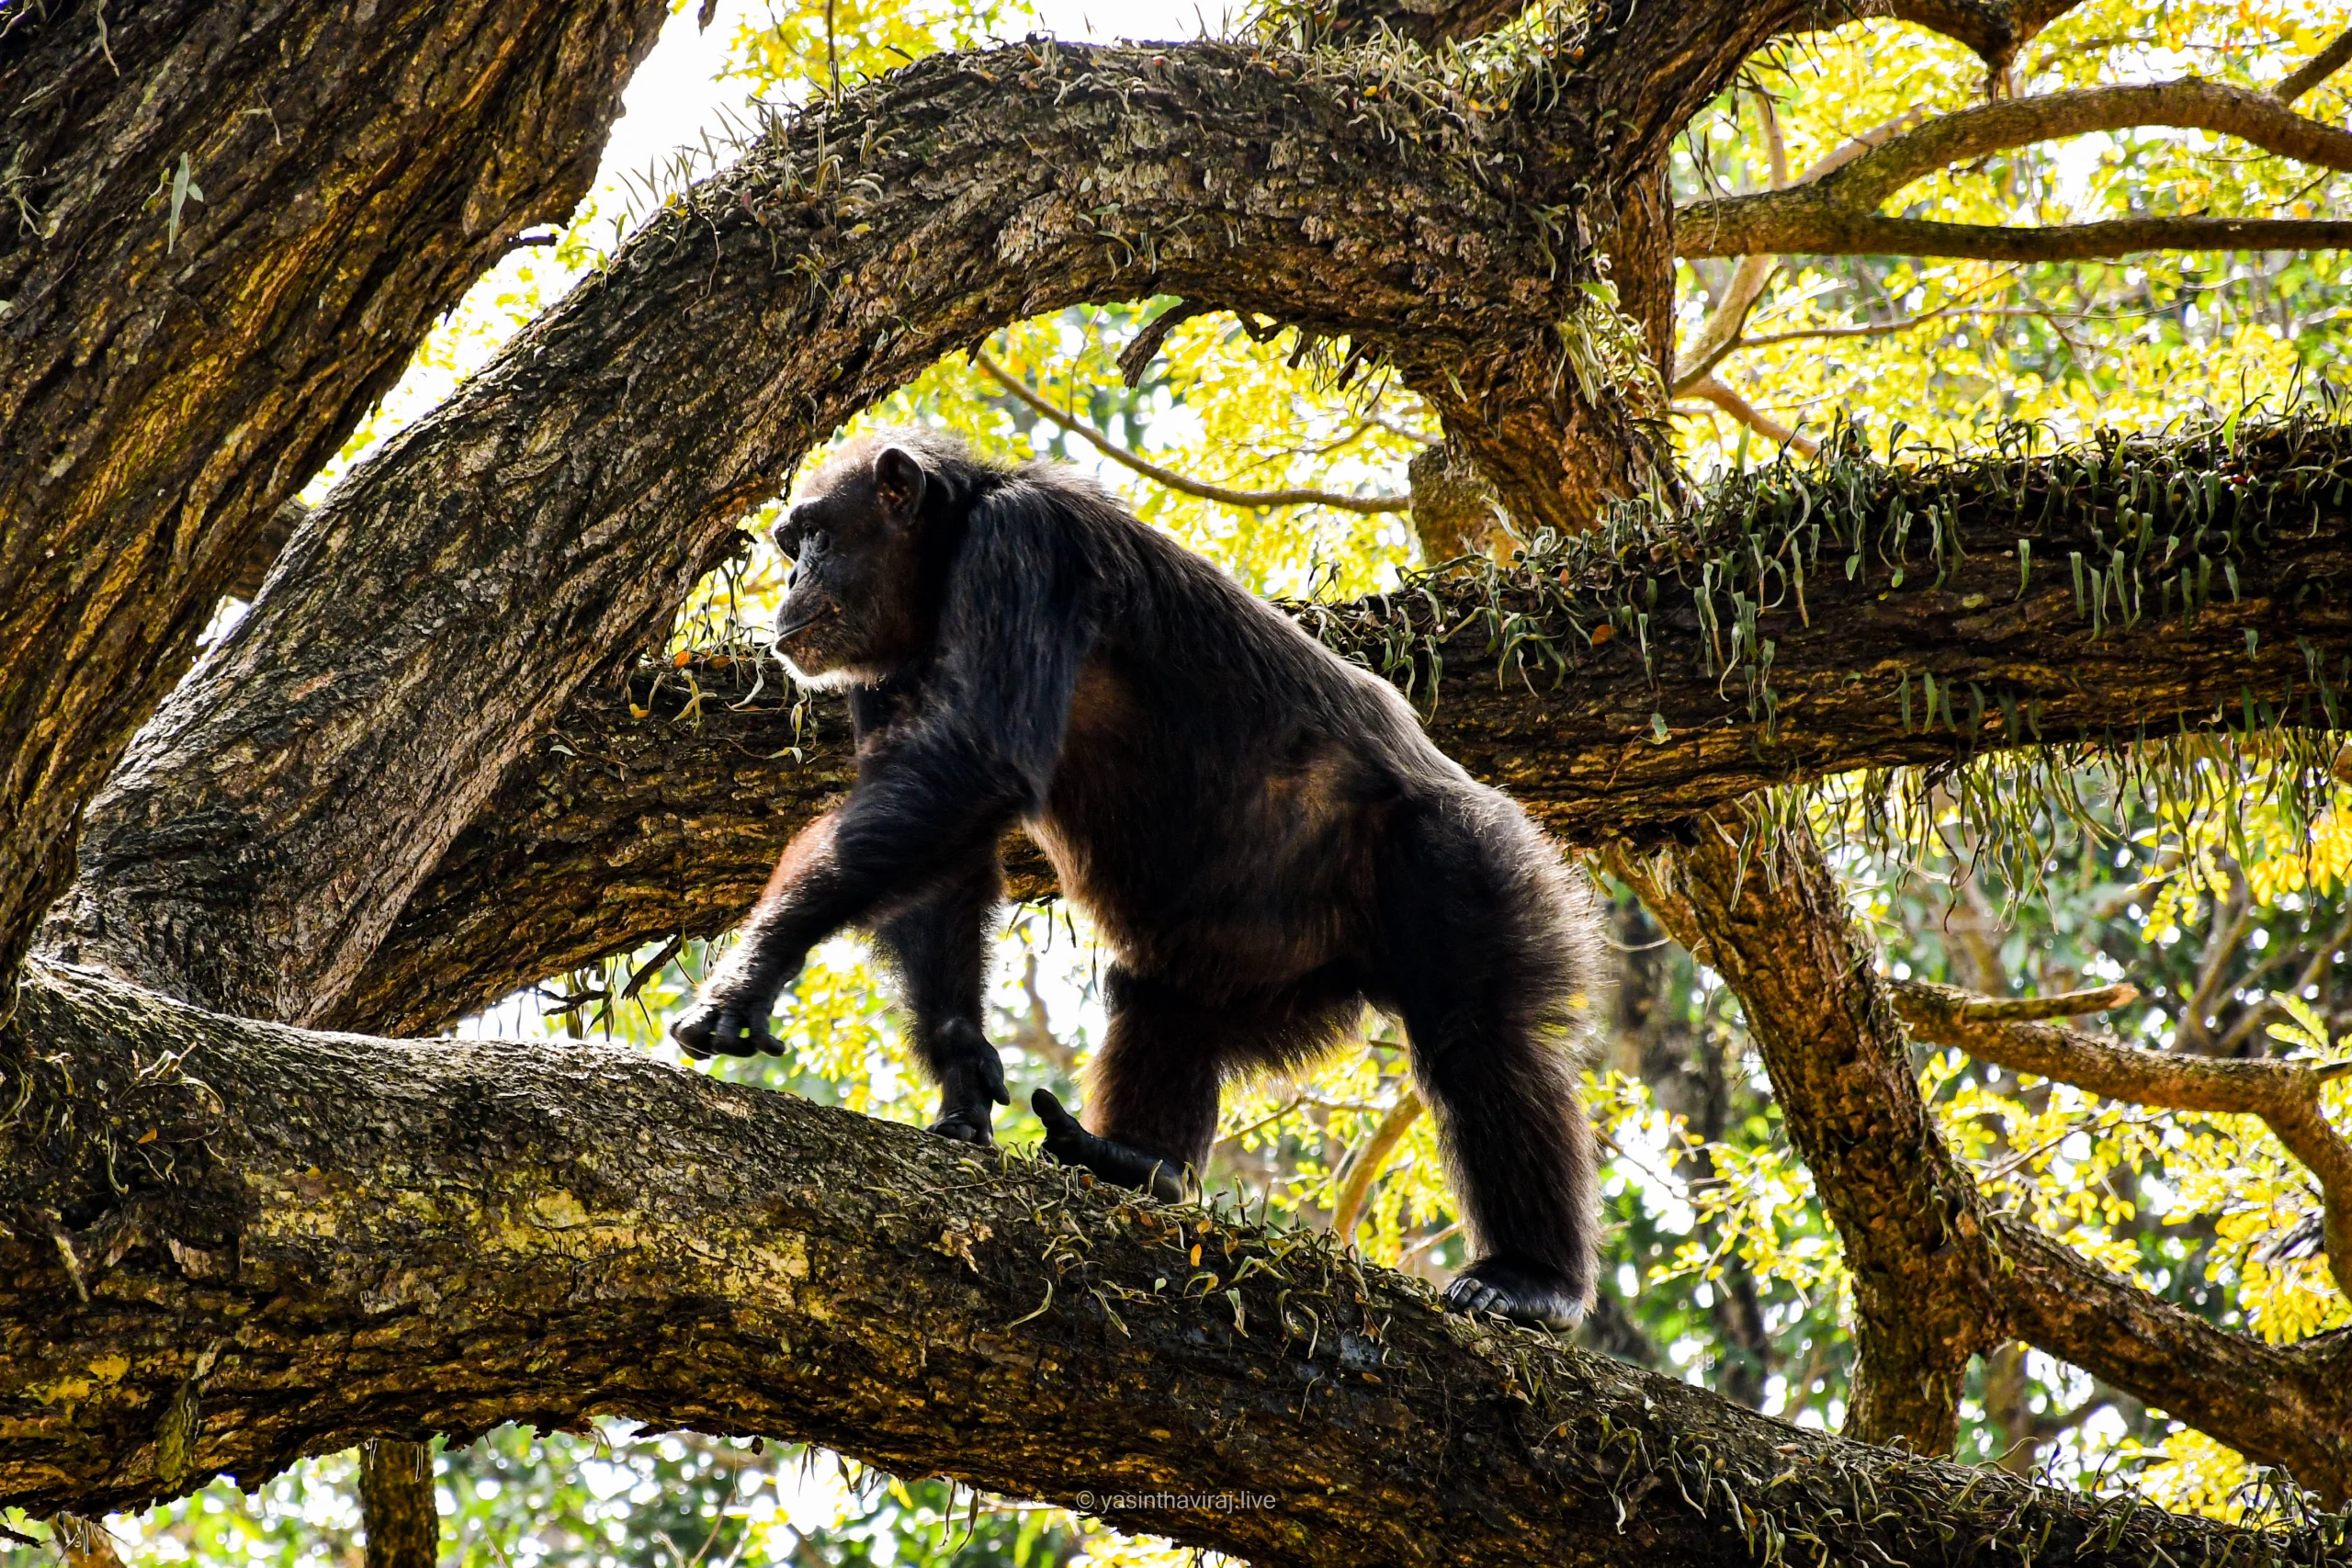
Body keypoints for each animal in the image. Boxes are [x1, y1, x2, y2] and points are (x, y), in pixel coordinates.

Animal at [672, 429, 1603, 1328]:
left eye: (817, 536)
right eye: (793, 542)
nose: (791, 577)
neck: (945, 557)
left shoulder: (1025, 547)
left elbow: (973, 759)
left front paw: (751, 970)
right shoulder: (884, 673)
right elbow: (942, 852)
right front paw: (962, 1062)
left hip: (1464, 857)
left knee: (1477, 1034)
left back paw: (1532, 1279)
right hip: (1259, 966)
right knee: (1162, 1001)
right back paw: (1136, 1161)